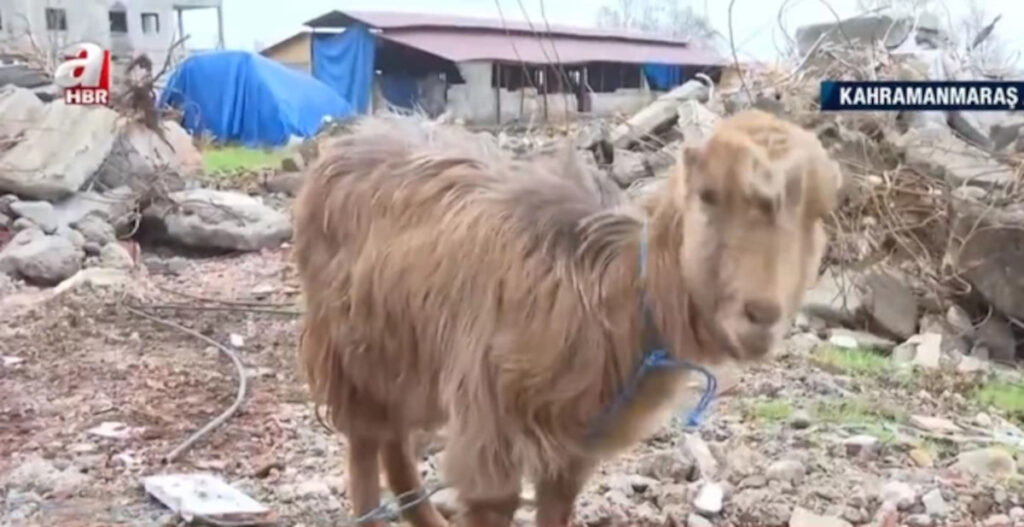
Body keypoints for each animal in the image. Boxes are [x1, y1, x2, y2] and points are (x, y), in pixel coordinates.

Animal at [290, 109, 839, 523]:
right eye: (707, 195)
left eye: (817, 215)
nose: (761, 316)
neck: (609, 291)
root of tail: (352, 137)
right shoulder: (491, 424)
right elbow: (494, 500)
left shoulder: (571, 444)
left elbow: (557, 504)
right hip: (347, 347)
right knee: (367, 441)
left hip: (405, 355)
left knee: (394, 440)